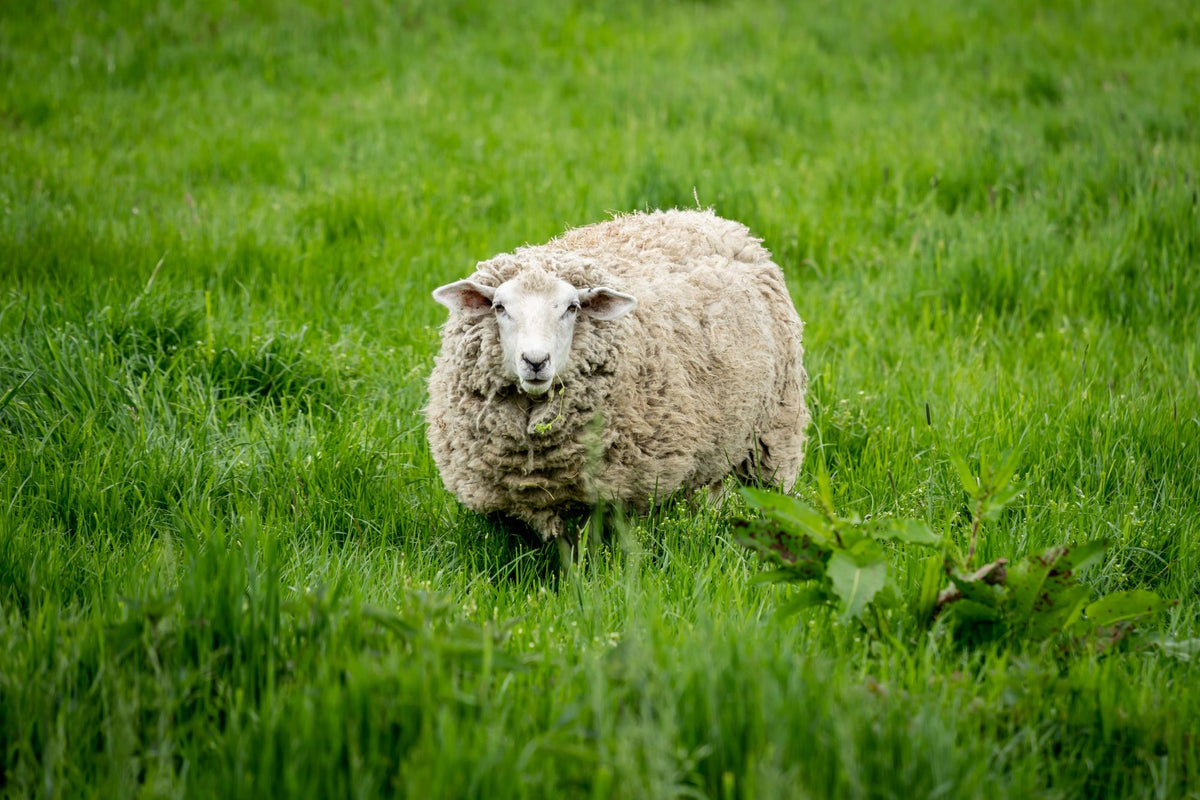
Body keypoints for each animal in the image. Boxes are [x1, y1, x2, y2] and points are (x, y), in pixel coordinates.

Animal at [426, 208, 810, 544]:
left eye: (572, 308)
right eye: (499, 307)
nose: (535, 361)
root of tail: (704, 215)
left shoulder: (627, 495)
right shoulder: (516, 507)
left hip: (774, 436)